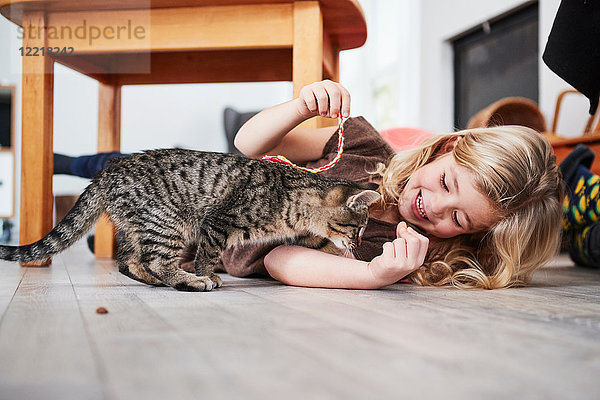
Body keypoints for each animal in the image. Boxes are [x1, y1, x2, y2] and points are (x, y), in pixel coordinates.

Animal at [0, 149, 380, 290]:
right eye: (360, 227)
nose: (360, 241)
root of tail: (107, 172)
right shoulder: (217, 223)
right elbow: (208, 254)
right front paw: (206, 274)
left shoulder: (305, 234)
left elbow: (322, 244)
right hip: (168, 223)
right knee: (155, 260)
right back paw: (188, 281)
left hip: (139, 227)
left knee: (128, 262)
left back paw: (157, 282)